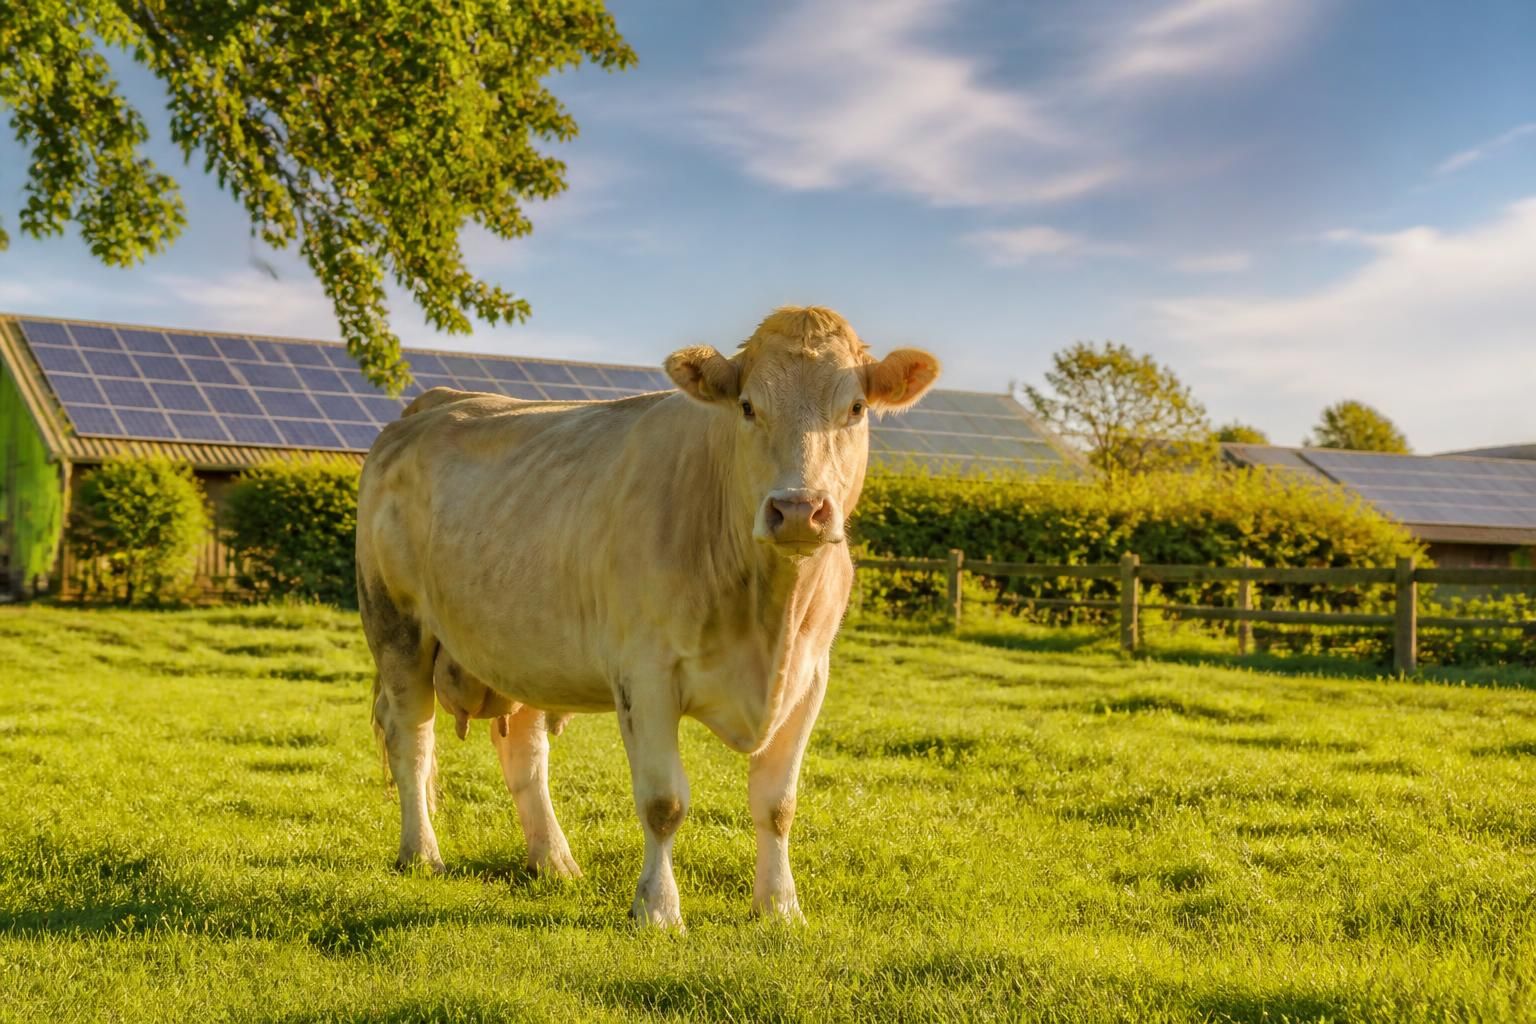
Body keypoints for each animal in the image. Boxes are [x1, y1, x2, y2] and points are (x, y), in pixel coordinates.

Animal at [356, 306, 940, 927]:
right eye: (747, 406)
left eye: (855, 408)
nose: (799, 509)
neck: (769, 617)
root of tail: (432, 404)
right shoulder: (646, 675)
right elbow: (664, 802)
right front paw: (657, 909)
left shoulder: (809, 679)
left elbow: (777, 804)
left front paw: (780, 908)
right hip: (396, 627)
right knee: (412, 739)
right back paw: (422, 854)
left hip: (522, 650)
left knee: (525, 756)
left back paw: (553, 861)